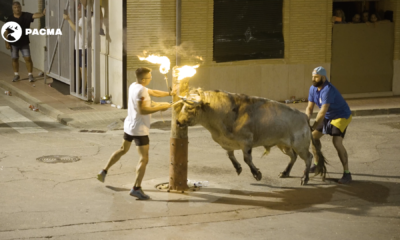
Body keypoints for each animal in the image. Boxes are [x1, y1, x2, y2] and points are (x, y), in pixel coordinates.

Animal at [177, 89, 326, 185]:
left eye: (189, 108)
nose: (178, 122)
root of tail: (304, 117)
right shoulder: (228, 142)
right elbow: (230, 155)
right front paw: (238, 168)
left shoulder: (246, 142)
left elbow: (247, 159)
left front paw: (257, 174)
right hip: (283, 144)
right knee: (293, 157)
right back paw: (285, 172)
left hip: (300, 145)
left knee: (308, 157)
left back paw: (304, 178)